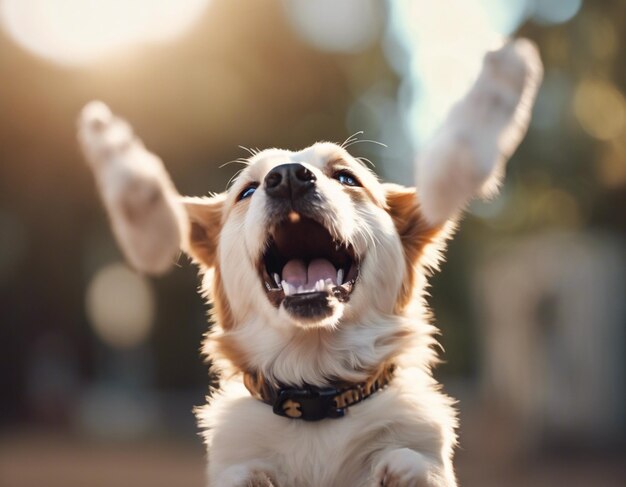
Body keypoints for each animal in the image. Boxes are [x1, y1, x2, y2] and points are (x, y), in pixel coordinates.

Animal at [79, 40, 540, 486]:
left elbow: (413, 461)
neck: (315, 395)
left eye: (347, 177)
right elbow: (240, 473)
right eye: (247, 190)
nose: (287, 177)